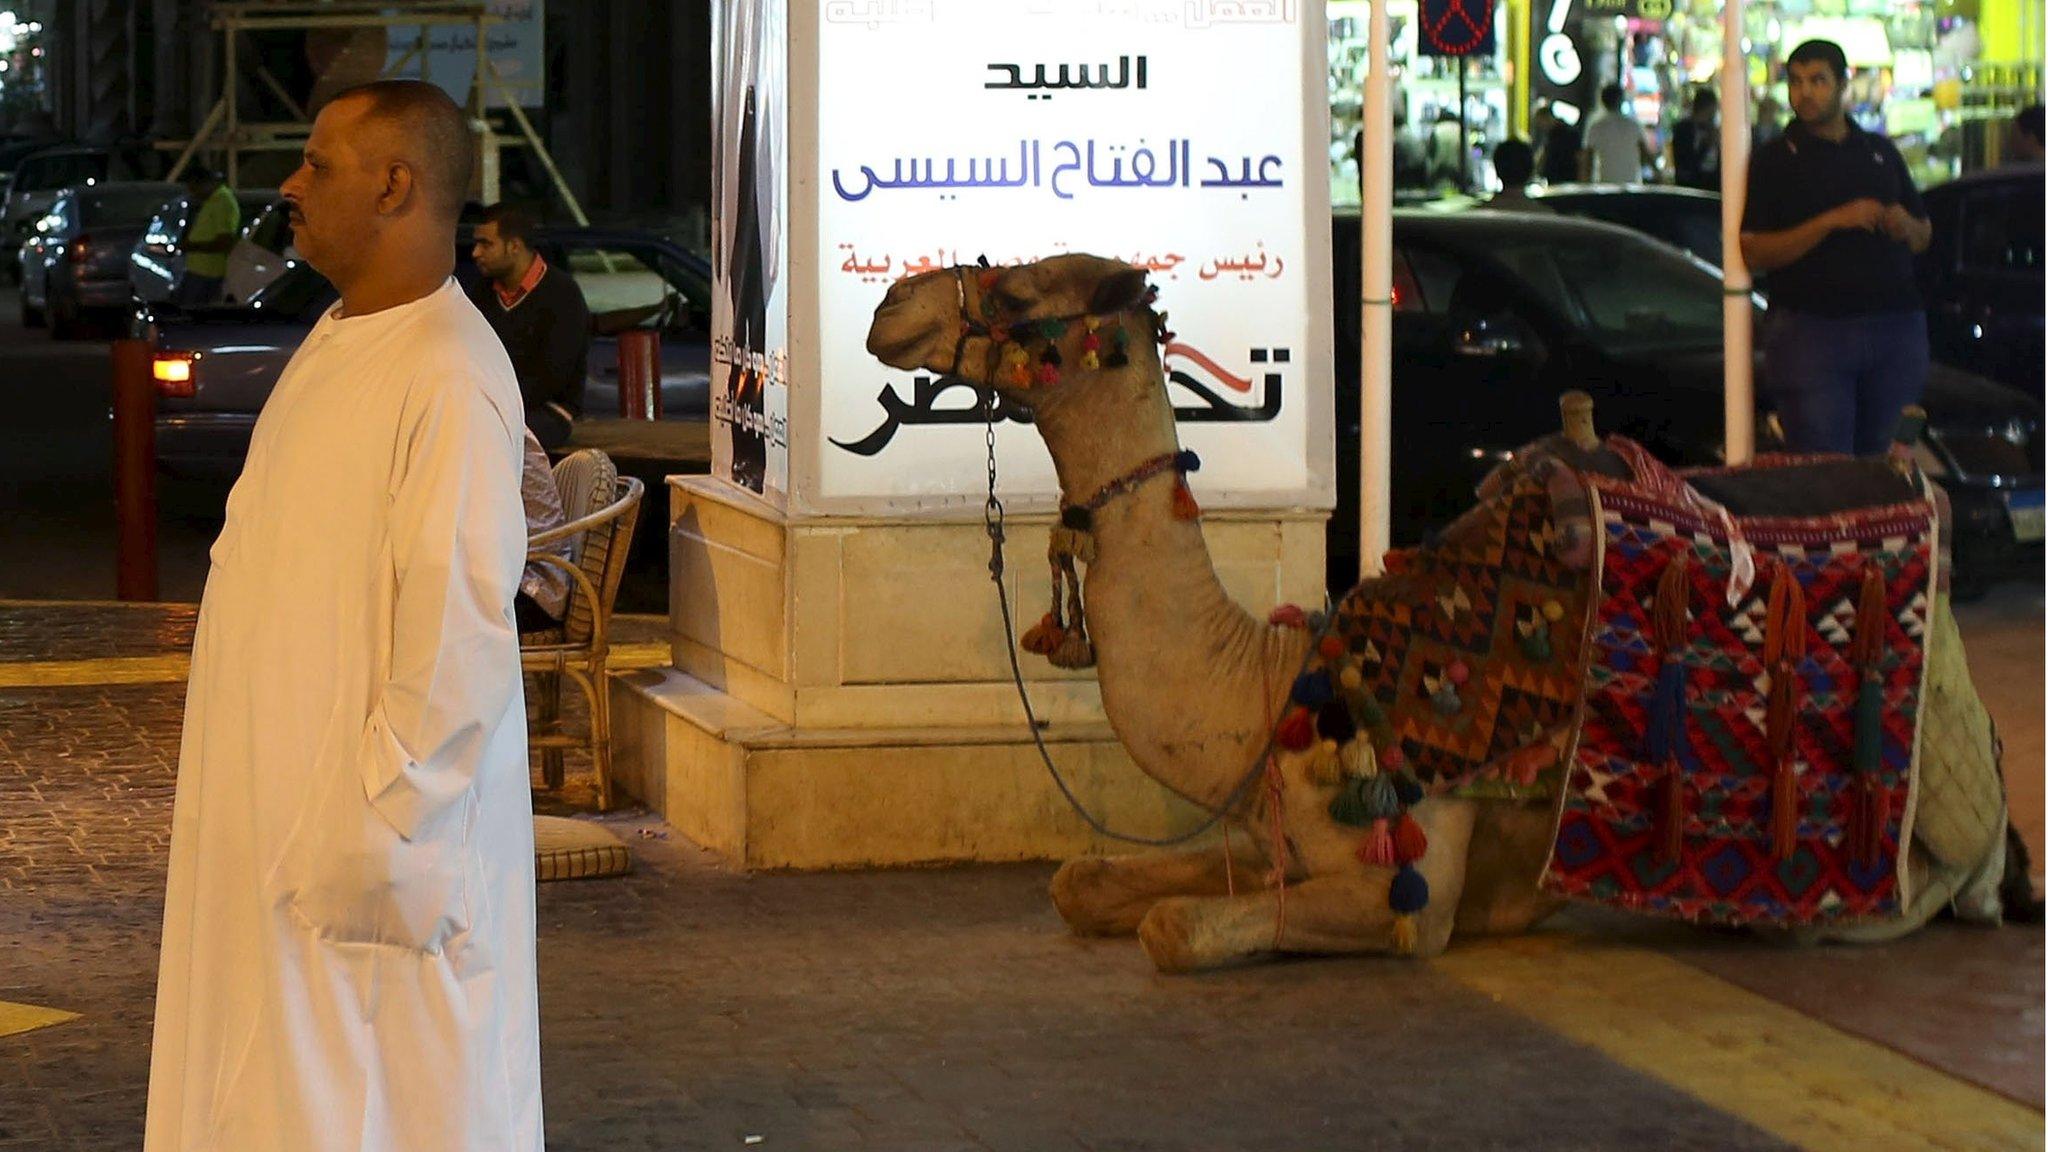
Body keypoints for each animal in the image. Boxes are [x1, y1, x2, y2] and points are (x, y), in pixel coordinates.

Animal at [860, 253, 2015, 967]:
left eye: (1017, 290)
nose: (891, 307)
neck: (1273, 690)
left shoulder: (1409, 887)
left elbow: (1179, 930)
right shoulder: (1270, 840)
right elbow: (1081, 882)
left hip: (1936, 779)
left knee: (1954, 872)